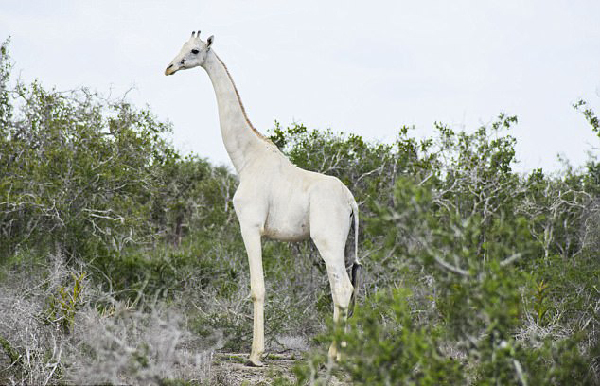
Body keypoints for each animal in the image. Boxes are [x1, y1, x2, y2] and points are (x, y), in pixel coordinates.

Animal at [164, 31, 360, 366]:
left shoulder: (250, 225)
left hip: (327, 241)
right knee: (341, 290)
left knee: (343, 289)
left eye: (195, 50)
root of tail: (351, 202)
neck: (245, 158)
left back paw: (333, 356)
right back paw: (340, 353)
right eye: (181, 46)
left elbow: (258, 287)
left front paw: (255, 355)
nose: (170, 67)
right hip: (340, 243)